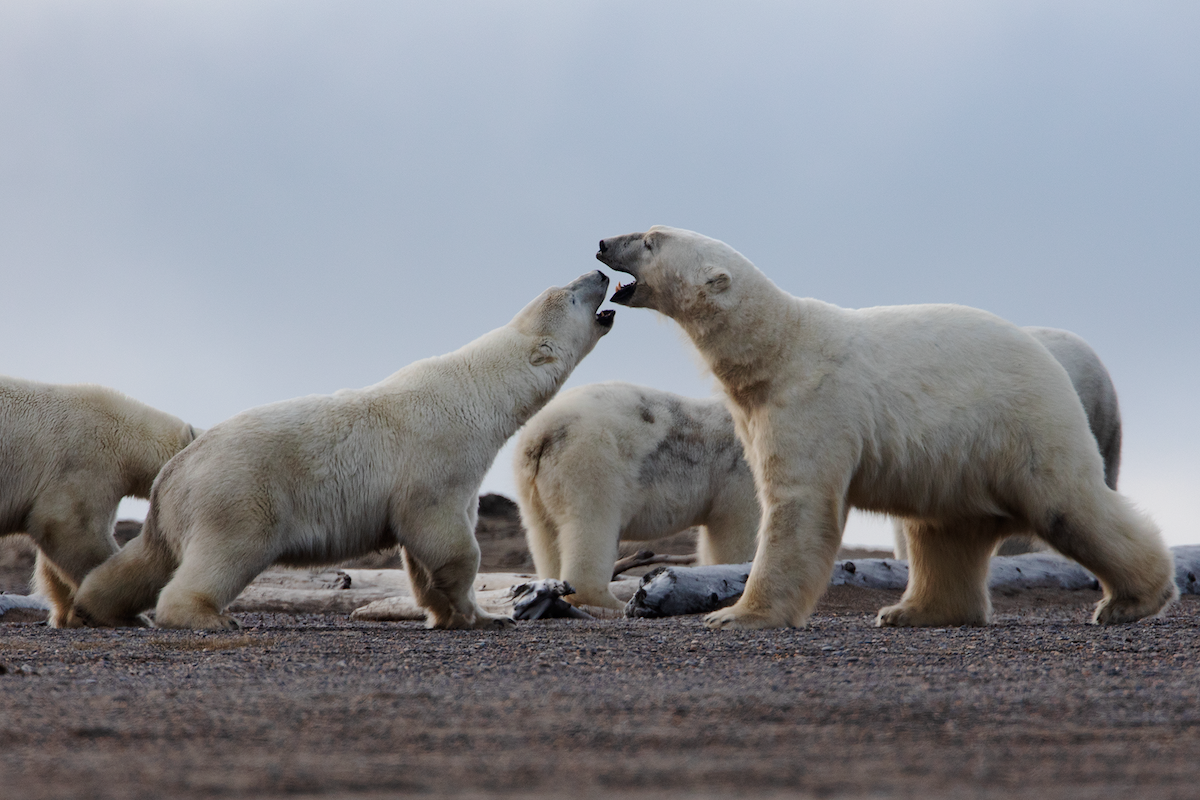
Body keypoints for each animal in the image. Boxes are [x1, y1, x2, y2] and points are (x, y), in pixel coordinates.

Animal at [71, 271, 615, 630]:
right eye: (570, 295)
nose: (600, 271)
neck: (476, 392)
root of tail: (173, 474)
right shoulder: (439, 455)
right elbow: (445, 536)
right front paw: (482, 614)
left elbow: (422, 552)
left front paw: (454, 615)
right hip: (239, 496)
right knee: (223, 555)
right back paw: (206, 617)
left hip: (178, 512)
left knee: (144, 561)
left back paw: (97, 609)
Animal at [514, 381, 758, 609]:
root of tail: (541, 433)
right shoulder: (739, 470)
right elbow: (734, 528)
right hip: (591, 462)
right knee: (593, 526)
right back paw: (613, 603)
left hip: (532, 482)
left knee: (544, 533)